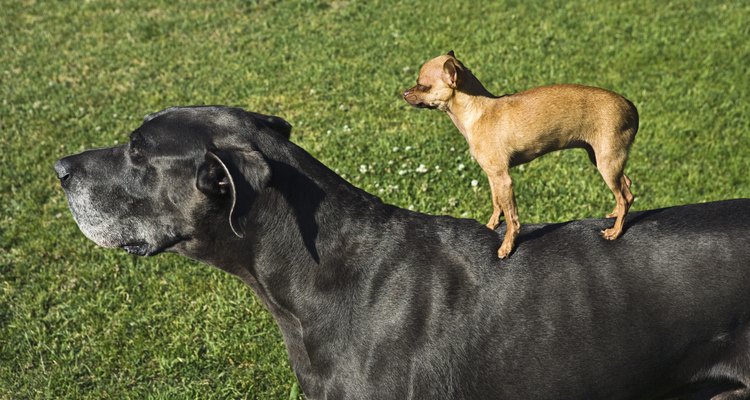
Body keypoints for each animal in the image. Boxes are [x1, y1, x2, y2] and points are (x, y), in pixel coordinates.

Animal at [406, 51, 640, 258]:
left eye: (423, 86)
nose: (404, 93)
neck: (477, 111)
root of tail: (631, 106)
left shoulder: (504, 180)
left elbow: (512, 218)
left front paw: (507, 247)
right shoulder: (493, 177)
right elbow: (497, 204)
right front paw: (491, 225)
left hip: (607, 162)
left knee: (626, 197)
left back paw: (615, 231)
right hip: (602, 158)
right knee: (626, 185)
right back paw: (615, 214)